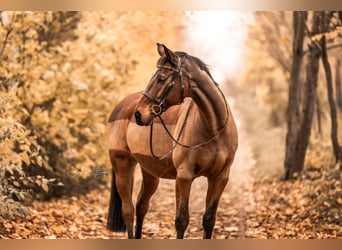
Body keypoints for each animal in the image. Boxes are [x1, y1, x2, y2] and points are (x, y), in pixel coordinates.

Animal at [107, 43, 238, 238]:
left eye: (161, 78)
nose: (139, 114)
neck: (213, 128)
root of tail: (122, 106)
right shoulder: (184, 176)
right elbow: (181, 220)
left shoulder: (220, 178)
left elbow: (209, 220)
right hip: (123, 165)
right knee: (128, 210)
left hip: (149, 171)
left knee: (141, 206)